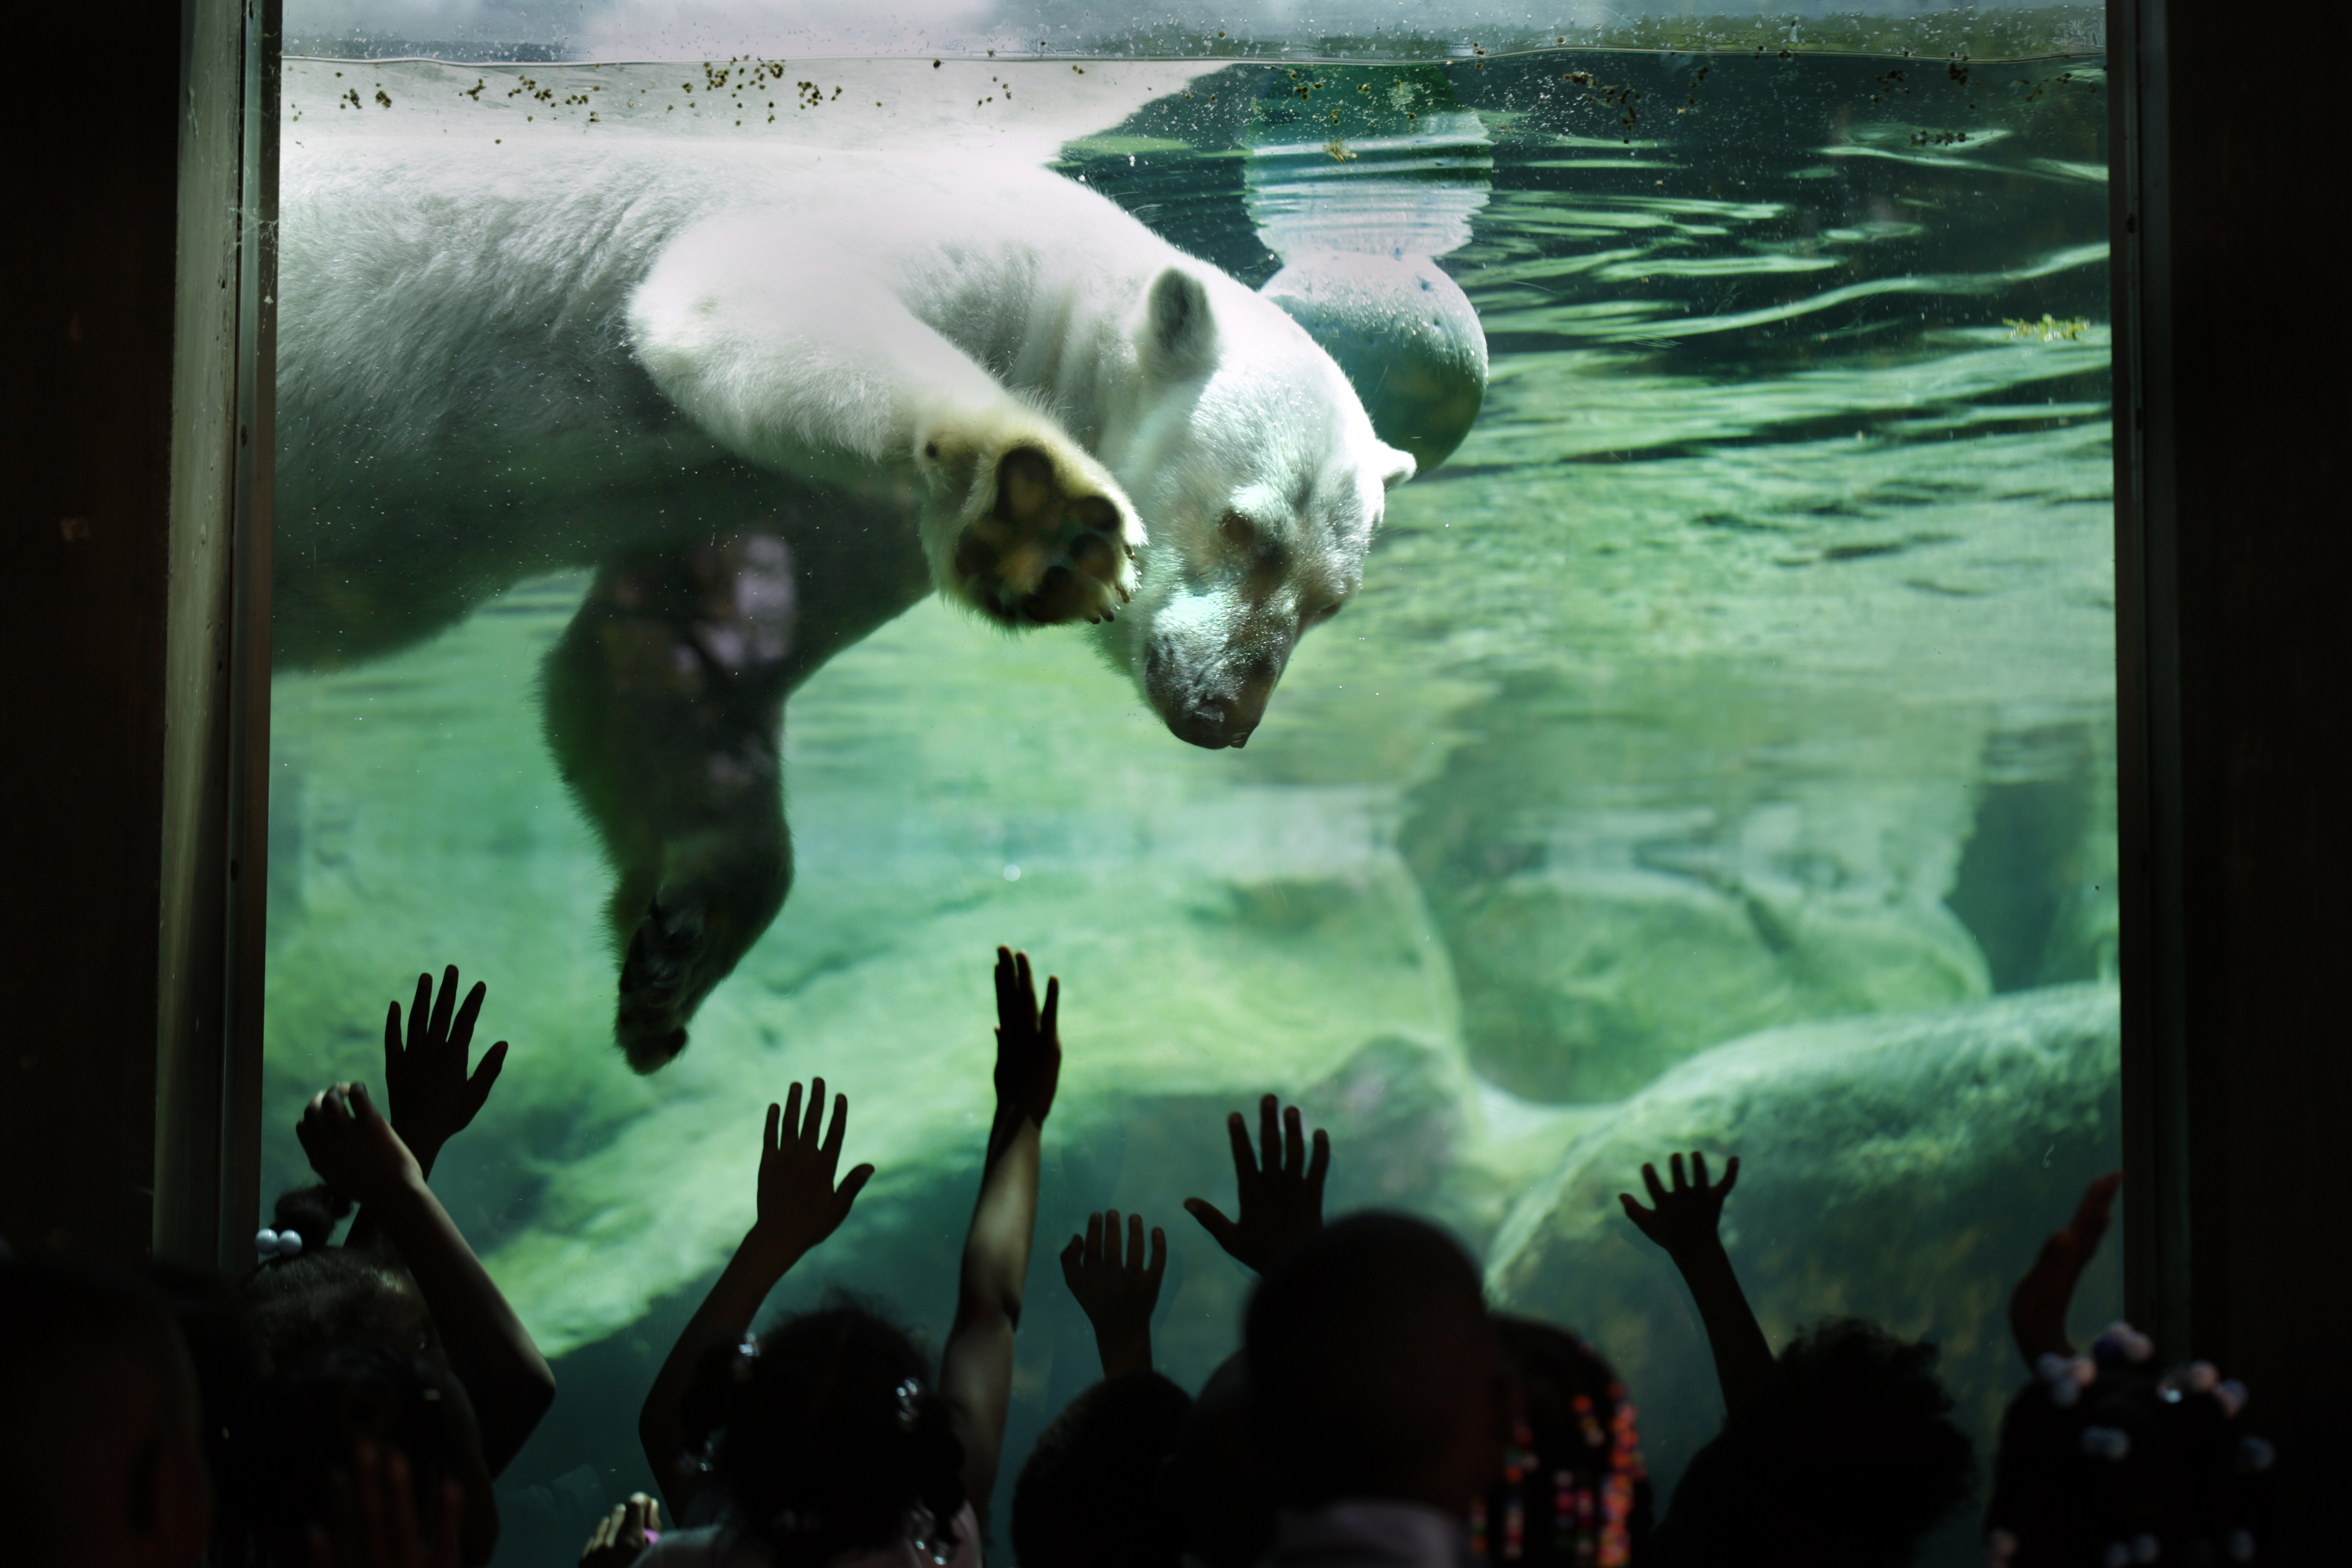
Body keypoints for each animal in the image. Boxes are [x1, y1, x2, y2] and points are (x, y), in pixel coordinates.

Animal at [275, 140, 1411, 1072]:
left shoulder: (834, 519)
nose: (1224, 713)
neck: (1075, 299)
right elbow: (733, 300)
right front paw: (1047, 520)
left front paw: (680, 945)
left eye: (1328, 601)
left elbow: (662, 650)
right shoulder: (941, 250)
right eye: (1245, 526)